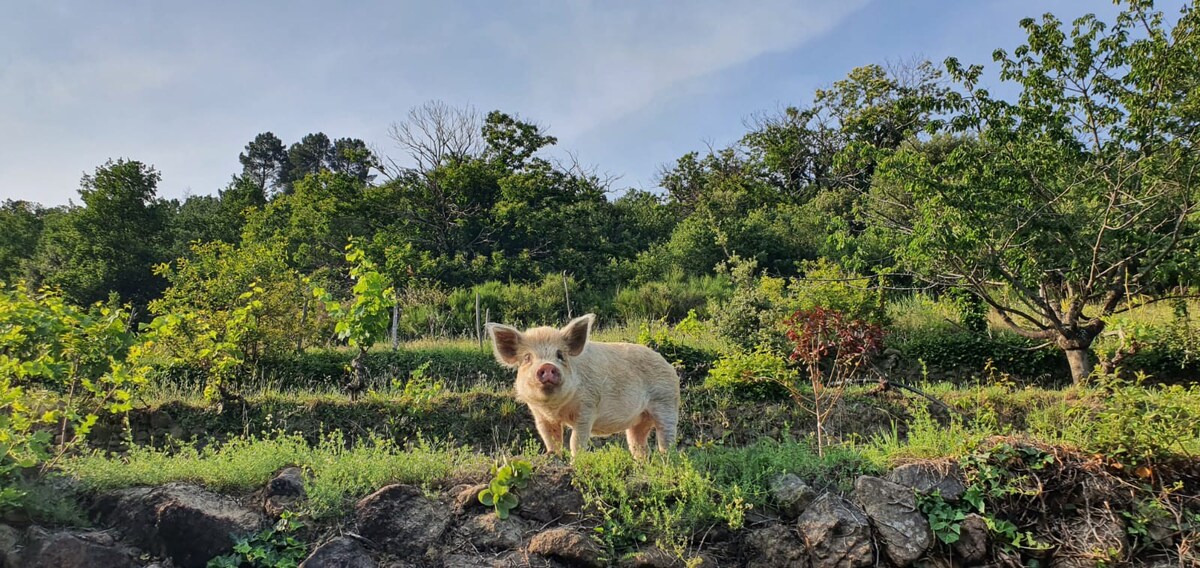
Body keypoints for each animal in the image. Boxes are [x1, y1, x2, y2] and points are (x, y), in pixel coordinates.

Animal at [482, 312, 681, 458]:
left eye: (560, 355)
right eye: (527, 358)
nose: (547, 366)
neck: (554, 408)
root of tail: (669, 366)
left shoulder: (587, 407)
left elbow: (576, 440)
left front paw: (575, 461)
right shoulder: (539, 415)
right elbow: (550, 437)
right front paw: (553, 456)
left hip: (666, 403)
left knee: (667, 437)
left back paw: (666, 459)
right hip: (640, 419)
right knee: (639, 444)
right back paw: (641, 464)